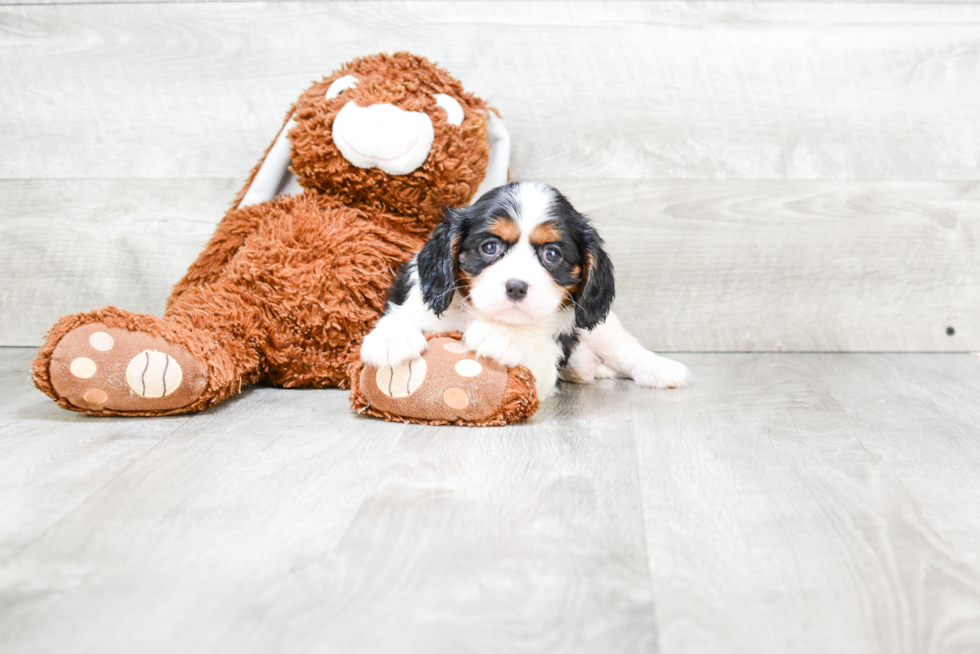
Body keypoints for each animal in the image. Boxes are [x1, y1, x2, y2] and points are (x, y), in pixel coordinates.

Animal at [360, 182, 688, 402]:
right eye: (490, 247)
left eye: (552, 255)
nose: (516, 286)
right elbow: (403, 316)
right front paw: (391, 338)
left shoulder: (542, 367)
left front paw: (501, 335)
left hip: (598, 326)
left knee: (622, 347)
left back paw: (656, 368)